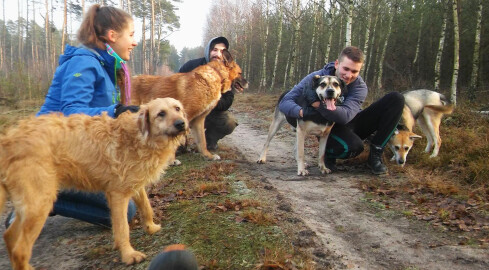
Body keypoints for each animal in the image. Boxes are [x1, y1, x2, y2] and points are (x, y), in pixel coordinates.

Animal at [0, 97, 188, 268]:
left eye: (177, 108)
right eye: (161, 113)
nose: (181, 123)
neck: (138, 137)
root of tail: (9, 141)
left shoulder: (134, 185)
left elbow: (146, 207)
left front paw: (150, 227)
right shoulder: (118, 195)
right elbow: (122, 228)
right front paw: (128, 255)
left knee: (9, 236)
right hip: (40, 204)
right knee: (20, 250)